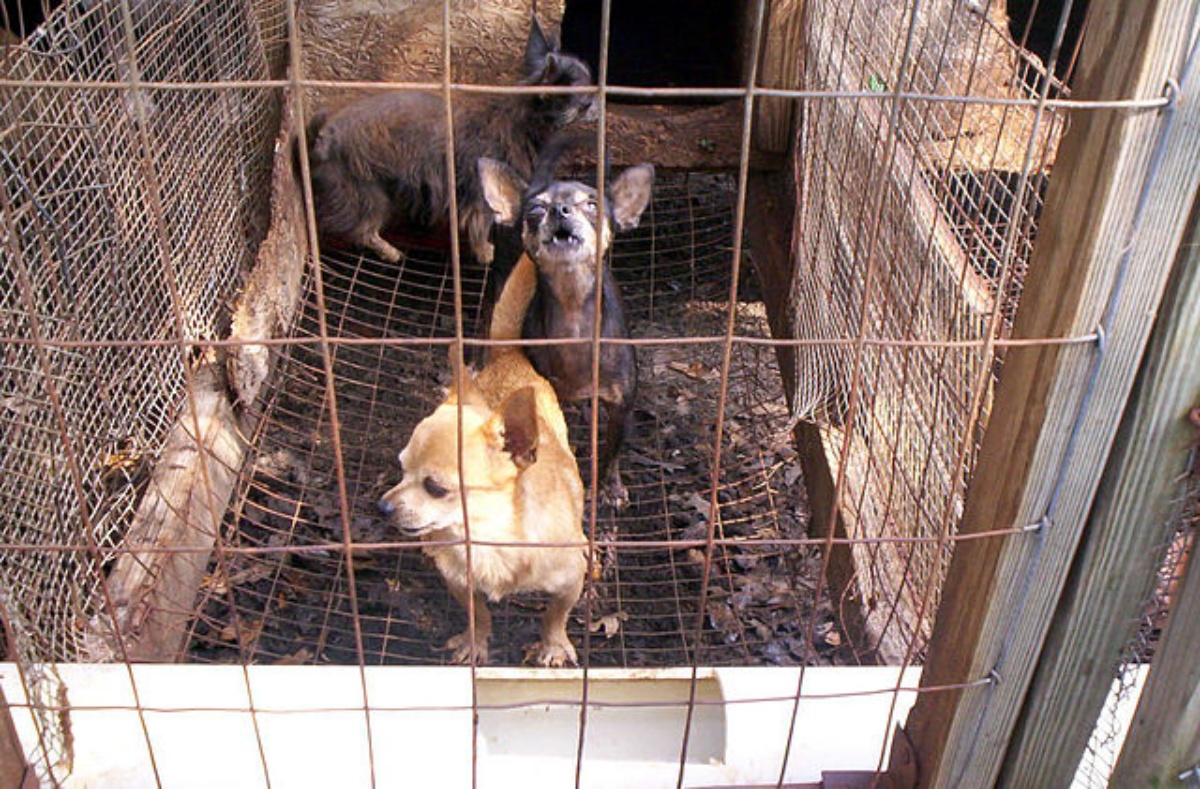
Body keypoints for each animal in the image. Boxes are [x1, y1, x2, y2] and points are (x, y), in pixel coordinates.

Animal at [307, 14, 592, 263]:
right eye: (581, 97)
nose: (594, 101)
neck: (522, 119)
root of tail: (323, 139)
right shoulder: (479, 193)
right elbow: (480, 225)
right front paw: (485, 252)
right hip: (369, 195)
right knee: (363, 231)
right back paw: (390, 252)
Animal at [372, 251, 583, 661]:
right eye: (400, 469)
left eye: (436, 487)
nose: (383, 507)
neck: (492, 537)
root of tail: (505, 353)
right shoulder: (458, 580)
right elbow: (478, 612)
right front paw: (476, 642)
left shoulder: (573, 576)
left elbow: (556, 613)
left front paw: (553, 644)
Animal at [472, 148, 652, 506]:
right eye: (535, 209)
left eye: (594, 204)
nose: (559, 210)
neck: (573, 312)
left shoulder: (621, 406)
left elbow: (611, 451)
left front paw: (609, 487)